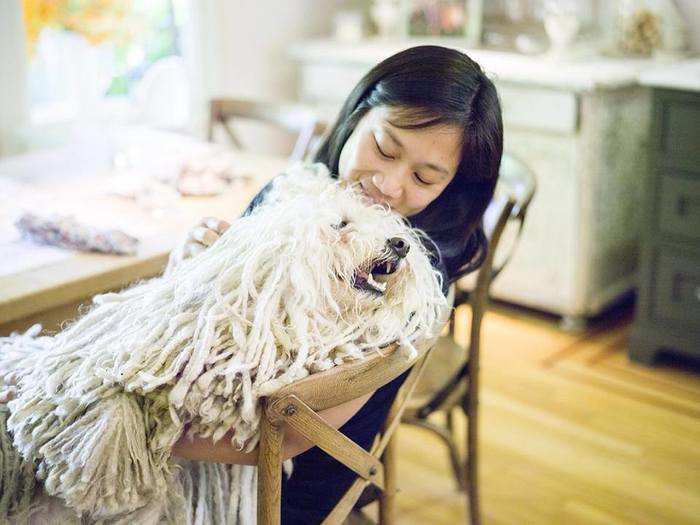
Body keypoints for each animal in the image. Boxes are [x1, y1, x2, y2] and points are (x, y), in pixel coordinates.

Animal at [0, 163, 448, 520]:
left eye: (389, 226)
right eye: (341, 224)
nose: (400, 244)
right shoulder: (112, 348)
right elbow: (105, 392)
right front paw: (96, 463)